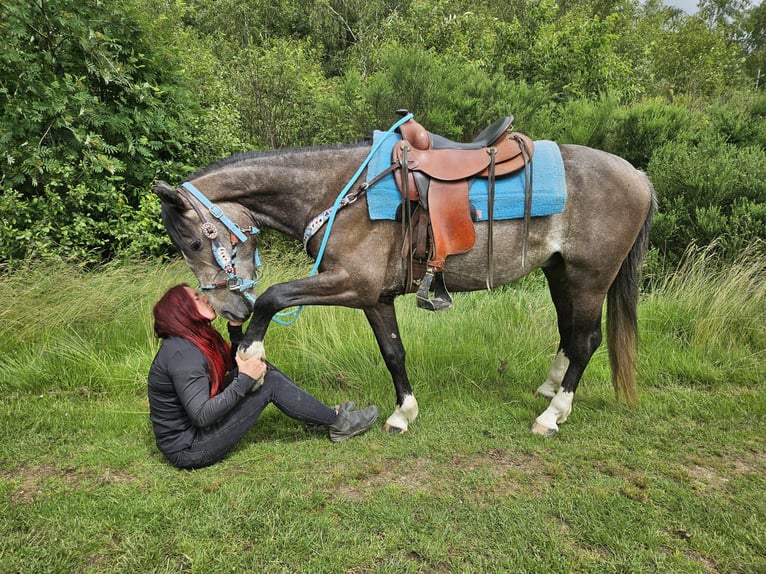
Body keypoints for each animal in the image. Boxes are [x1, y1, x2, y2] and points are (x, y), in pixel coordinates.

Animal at [153, 121, 656, 437]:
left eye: (193, 242)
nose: (226, 309)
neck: (338, 192)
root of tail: (637, 175)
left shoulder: (351, 282)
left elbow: (274, 298)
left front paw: (251, 354)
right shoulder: (373, 296)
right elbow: (393, 352)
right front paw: (403, 413)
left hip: (590, 277)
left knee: (586, 341)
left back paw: (552, 415)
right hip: (560, 272)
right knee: (569, 334)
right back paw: (550, 389)